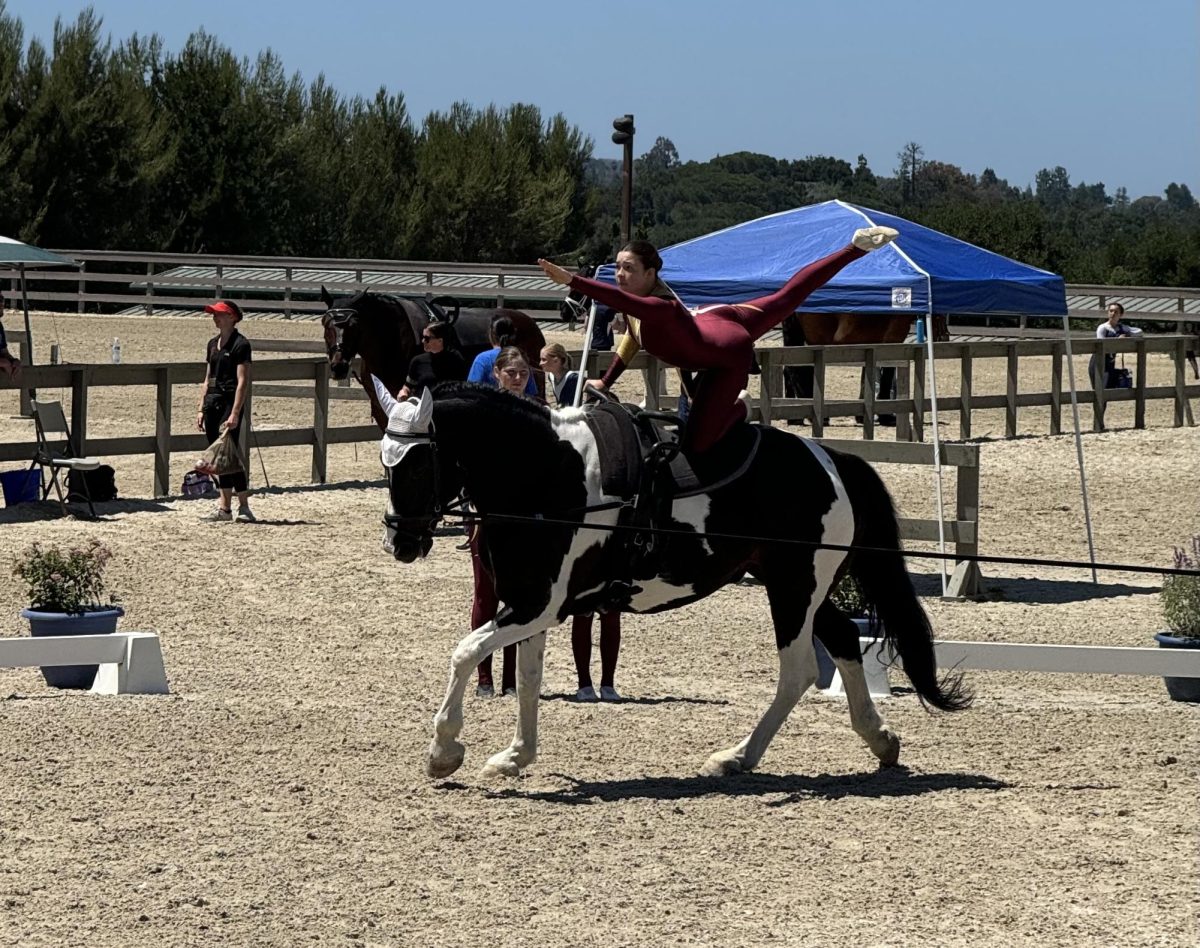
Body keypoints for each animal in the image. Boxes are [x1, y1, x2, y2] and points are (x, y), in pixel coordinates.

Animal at [369, 381, 969, 782]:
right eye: (384, 462)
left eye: (417, 464)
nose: (402, 543)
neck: (549, 475)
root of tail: (830, 458)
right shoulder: (531, 604)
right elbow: (529, 676)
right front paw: (516, 756)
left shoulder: (535, 605)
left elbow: (464, 652)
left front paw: (444, 751)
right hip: (798, 586)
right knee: (844, 640)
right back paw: (879, 740)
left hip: (795, 590)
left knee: (798, 670)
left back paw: (738, 756)